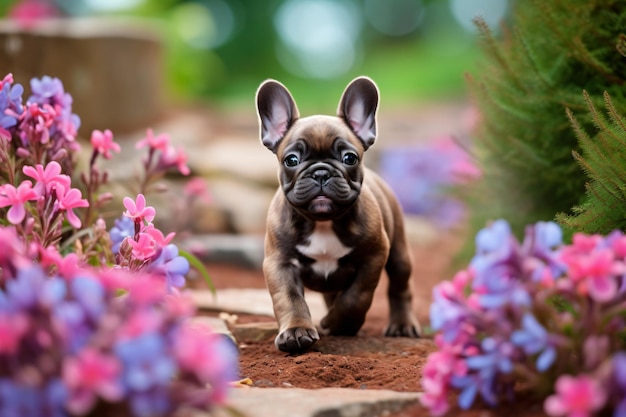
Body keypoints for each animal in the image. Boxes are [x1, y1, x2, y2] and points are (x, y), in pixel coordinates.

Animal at [254, 75, 420, 352]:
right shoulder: (280, 263)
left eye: (350, 158)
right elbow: (289, 298)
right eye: (291, 160)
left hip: (398, 253)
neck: (323, 222)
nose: (321, 172)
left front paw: (338, 323)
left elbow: (357, 296)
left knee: (399, 287)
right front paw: (296, 331)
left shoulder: (374, 256)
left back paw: (402, 325)